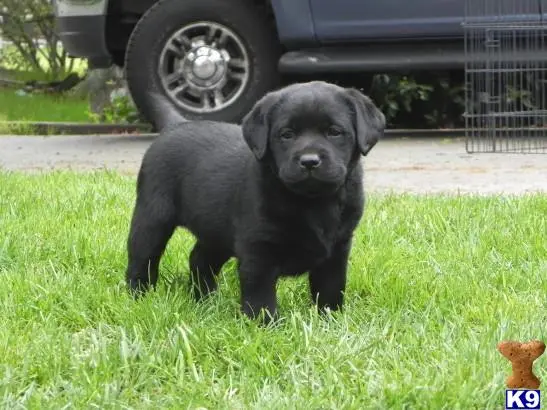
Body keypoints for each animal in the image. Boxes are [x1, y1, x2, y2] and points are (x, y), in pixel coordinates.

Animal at [127, 81, 388, 320]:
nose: (309, 161)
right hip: (153, 216)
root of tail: (176, 124)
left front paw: (330, 320)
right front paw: (266, 326)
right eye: (287, 134)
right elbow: (260, 295)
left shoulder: (337, 249)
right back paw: (139, 297)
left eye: (334, 132)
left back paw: (205, 299)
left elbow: (331, 288)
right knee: (142, 257)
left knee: (199, 259)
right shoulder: (258, 248)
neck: (313, 202)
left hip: (217, 232)